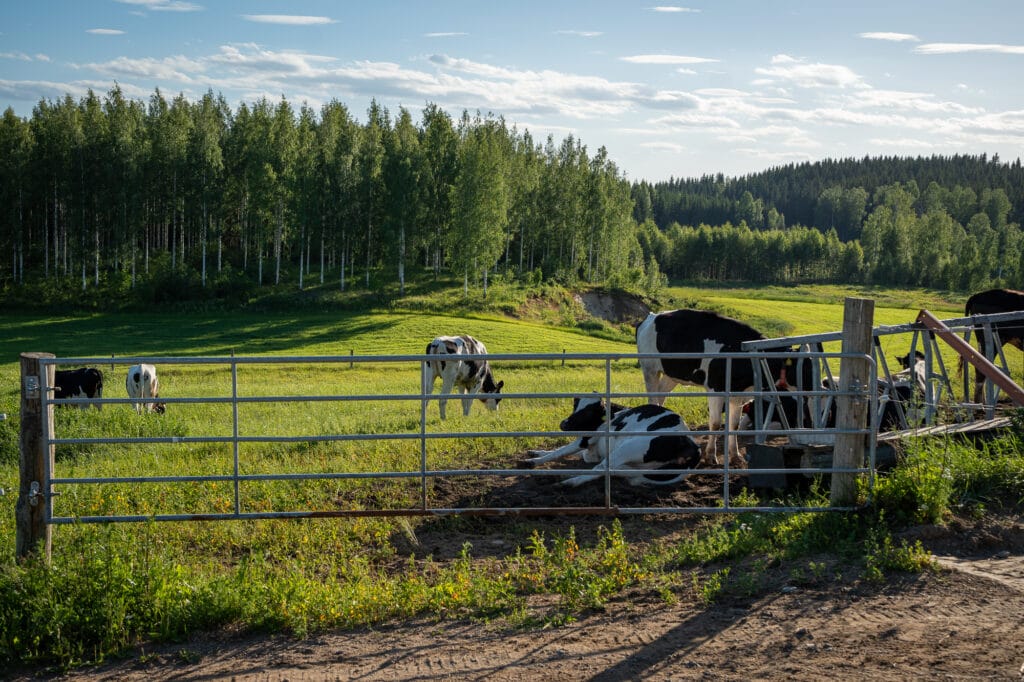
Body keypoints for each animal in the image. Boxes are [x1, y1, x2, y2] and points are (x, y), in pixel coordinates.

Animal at [524, 395, 700, 485]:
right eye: (575, 406)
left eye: (588, 412)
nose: (563, 424)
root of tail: (691, 442)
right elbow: (564, 451)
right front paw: (535, 452)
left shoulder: (586, 439)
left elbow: (561, 451)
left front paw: (534, 461)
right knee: (617, 471)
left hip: (628, 448)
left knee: (601, 469)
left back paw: (568, 482)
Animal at [634, 307, 811, 462]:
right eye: (804, 368)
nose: (811, 390)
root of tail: (651, 316)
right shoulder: (715, 388)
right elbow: (715, 423)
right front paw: (711, 456)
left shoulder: (738, 393)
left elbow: (734, 424)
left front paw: (735, 455)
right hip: (649, 369)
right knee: (653, 399)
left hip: (671, 375)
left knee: (661, 396)